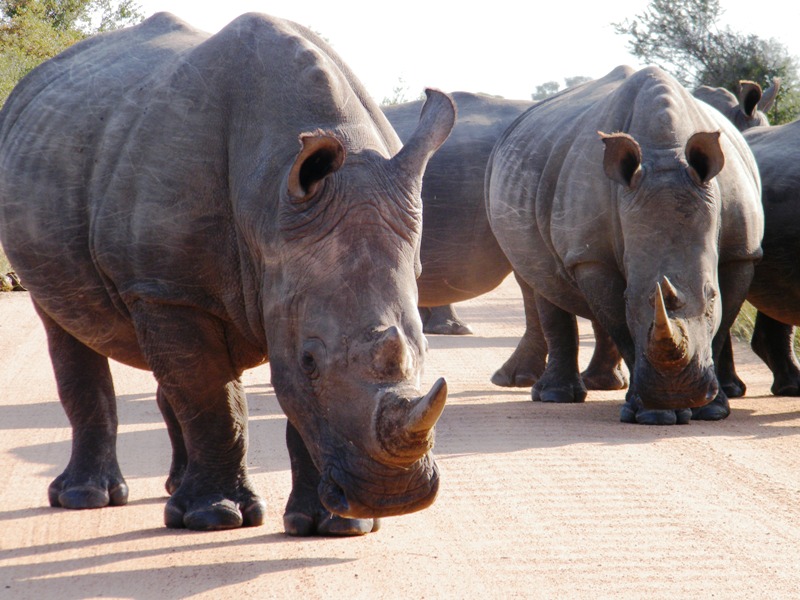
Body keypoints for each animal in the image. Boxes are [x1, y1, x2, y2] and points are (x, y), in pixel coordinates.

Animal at [0, 12, 456, 536]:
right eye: (310, 361)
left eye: (424, 351)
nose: (396, 497)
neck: (266, 201)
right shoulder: (169, 287)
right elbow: (212, 397)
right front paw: (216, 517)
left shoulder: (272, 273)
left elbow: (273, 398)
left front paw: (335, 526)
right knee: (66, 326)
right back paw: (88, 498)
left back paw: (174, 490)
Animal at [486, 65, 764, 425]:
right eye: (630, 298)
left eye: (711, 295)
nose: (677, 392)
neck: (665, 152)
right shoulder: (590, 257)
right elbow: (619, 320)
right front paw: (654, 414)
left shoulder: (740, 251)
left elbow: (722, 323)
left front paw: (711, 411)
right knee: (541, 281)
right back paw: (556, 396)